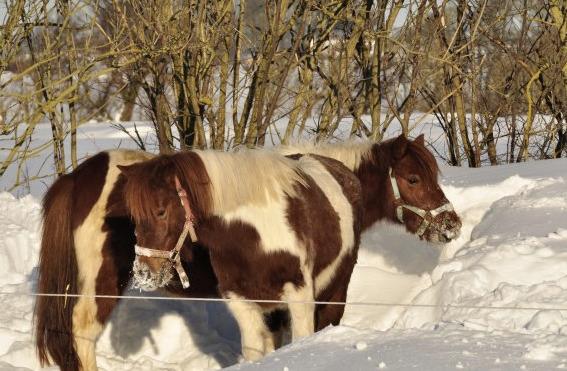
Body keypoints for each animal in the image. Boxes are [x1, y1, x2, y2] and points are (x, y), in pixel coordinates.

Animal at [34, 134, 462, 371]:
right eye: (413, 179)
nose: (452, 224)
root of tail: (76, 178)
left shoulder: (273, 302)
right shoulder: (312, 295)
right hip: (100, 285)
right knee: (82, 336)